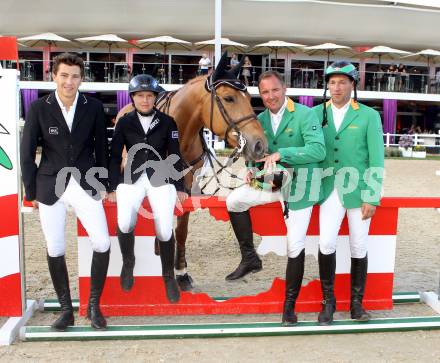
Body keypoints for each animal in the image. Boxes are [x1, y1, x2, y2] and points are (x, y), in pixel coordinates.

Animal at [116, 52, 268, 290]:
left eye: (250, 99)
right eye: (229, 98)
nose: (259, 144)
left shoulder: (186, 186)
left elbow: (181, 230)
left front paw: (181, 272)